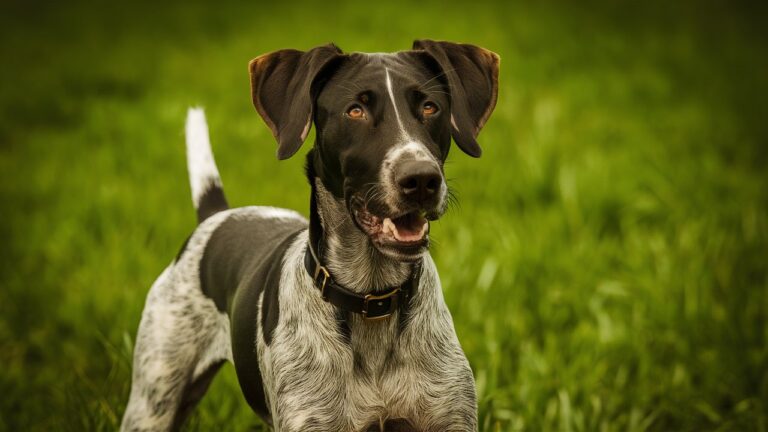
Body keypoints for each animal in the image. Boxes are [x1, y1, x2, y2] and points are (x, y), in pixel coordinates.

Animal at [121, 38, 498, 430]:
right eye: (354, 111)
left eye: (429, 107)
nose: (421, 179)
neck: (372, 298)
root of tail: (217, 214)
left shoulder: (450, 418)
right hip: (152, 401)